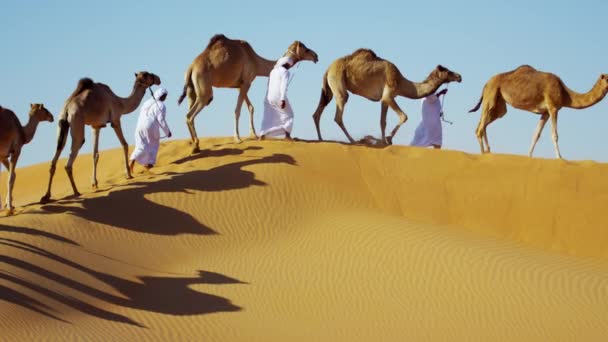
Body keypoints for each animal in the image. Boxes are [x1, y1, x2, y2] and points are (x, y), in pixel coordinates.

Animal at [41, 70, 163, 203]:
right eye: (148, 75)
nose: (158, 78)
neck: (121, 103)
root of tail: (67, 107)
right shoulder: (115, 120)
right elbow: (124, 145)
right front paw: (128, 174)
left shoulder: (96, 126)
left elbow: (95, 154)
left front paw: (94, 183)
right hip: (77, 121)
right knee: (71, 158)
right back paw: (76, 192)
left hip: (61, 123)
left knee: (57, 152)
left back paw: (46, 196)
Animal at [178, 34, 320, 153]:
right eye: (306, 48)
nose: (316, 56)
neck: (256, 61)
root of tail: (191, 67)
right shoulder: (247, 82)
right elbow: (237, 110)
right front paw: (238, 138)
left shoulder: (240, 85)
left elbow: (251, 107)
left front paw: (254, 134)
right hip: (204, 91)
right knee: (190, 115)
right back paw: (196, 144)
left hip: (191, 89)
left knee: (188, 111)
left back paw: (193, 145)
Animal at [314, 48, 460, 144]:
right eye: (447, 71)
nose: (459, 76)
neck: (402, 82)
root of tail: (328, 68)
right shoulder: (388, 95)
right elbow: (404, 116)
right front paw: (389, 139)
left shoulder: (385, 99)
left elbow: (382, 121)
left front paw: (383, 141)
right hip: (338, 80)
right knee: (339, 112)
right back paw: (353, 141)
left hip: (328, 88)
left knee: (318, 111)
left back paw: (321, 139)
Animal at [470, 65, 608, 159]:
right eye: (607, 78)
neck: (565, 93)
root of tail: (486, 84)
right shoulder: (553, 108)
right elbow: (554, 134)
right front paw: (560, 158)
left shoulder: (545, 113)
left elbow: (536, 134)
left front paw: (529, 156)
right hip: (490, 97)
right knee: (480, 128)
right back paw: (482, 154)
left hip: (499, 105)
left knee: (483, 124)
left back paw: (488, 152)